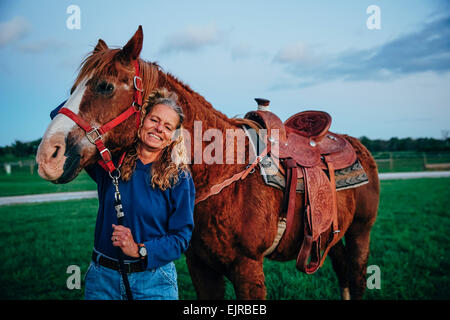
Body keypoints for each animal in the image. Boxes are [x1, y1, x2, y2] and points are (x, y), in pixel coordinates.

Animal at [37, 26, 378, 300]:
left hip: (361, 232)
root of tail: (357, 146)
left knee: (357, 279)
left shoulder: (248, 269)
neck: (221, 175)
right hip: (331, 237)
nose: (47, 156)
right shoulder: (201, 268)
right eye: (71, 91)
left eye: (105, 86)